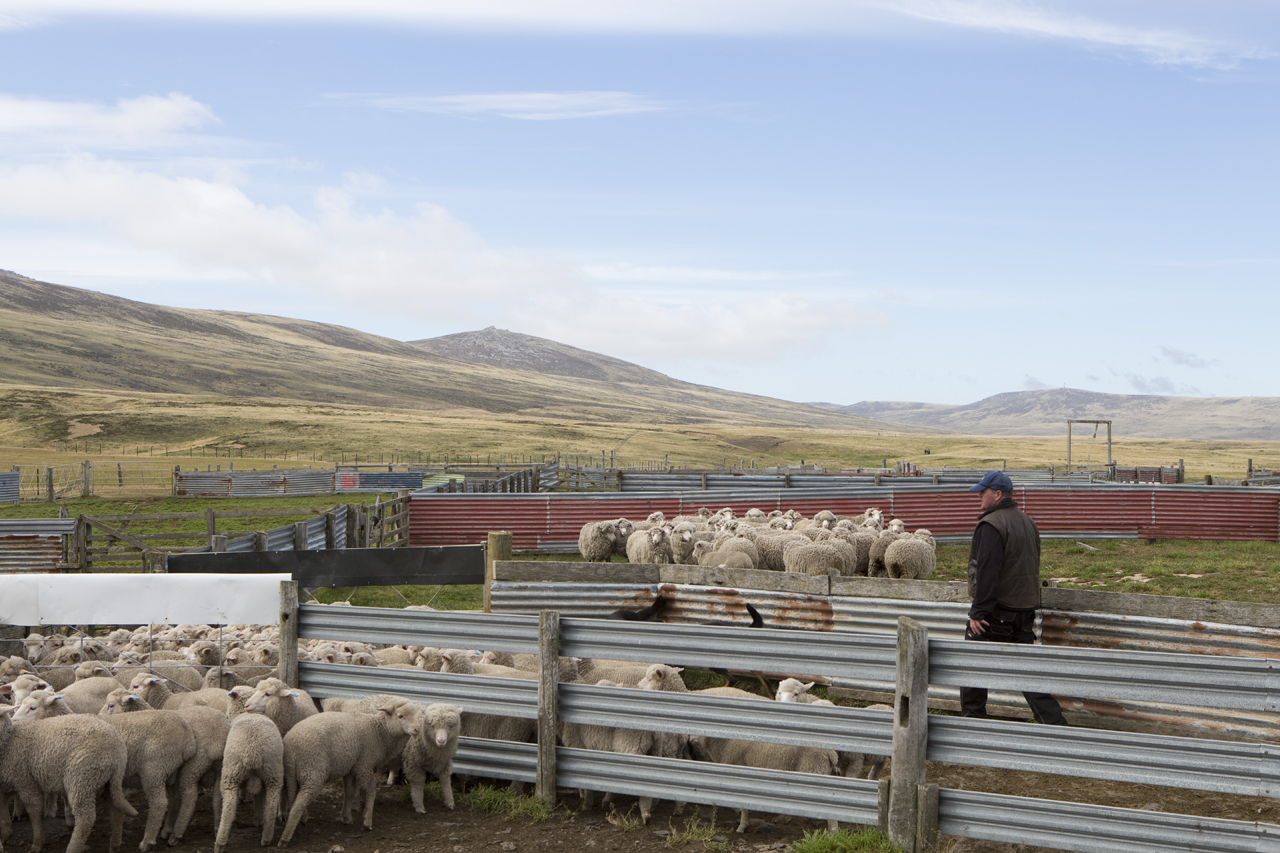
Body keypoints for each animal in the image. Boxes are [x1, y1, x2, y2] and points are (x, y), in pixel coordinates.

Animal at [0, 706, 136, 850]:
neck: (9, 741)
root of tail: (118, 750)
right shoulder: (5, 785)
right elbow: (2, 806)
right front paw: (6, 834)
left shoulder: (25, 781)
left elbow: (33, 810)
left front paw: (37, 843)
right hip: (106, 781)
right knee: (116, 810)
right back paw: (114, 844)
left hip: (82, 778)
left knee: (86, 818)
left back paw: (73, 847)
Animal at [276, 696, 424, 845]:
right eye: (400, 716)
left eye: (416, 715)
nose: (417, 729)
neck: (379, 732)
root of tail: (291, 746)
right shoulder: (364, 765)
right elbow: (371, 791)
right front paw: (367, 820)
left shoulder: (351, 768)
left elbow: (350, 791)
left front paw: (346, 817)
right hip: (312, 772)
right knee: (297, 806)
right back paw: (285, 838)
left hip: (290, 774)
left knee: (289, 795)